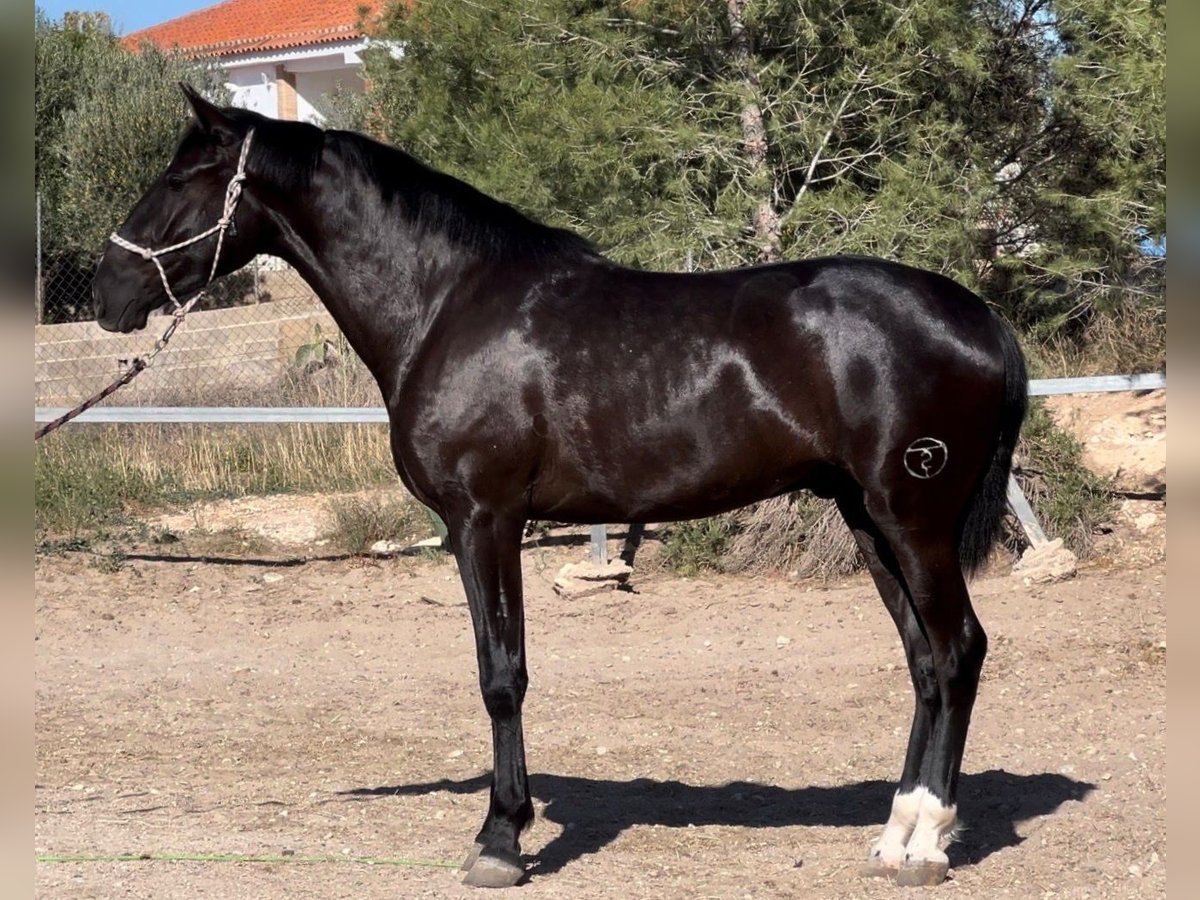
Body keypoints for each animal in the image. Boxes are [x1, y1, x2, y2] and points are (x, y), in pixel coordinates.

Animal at [93, 88, 1027, 892]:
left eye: (182, 176)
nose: (108, 288)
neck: (447, 303)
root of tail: (978, 315)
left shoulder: (484, 519)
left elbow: (500, 674)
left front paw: (500, 839)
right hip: (867, 520)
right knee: (923, 664)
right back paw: (897, 833)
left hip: (914, 521)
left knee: (959, 651)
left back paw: (927, 846)